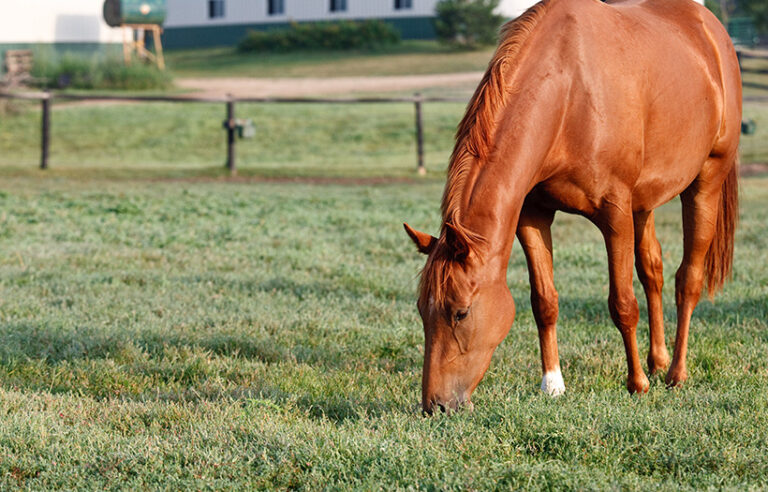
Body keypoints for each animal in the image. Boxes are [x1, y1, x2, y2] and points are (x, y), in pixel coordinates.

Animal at [404, 0, 740, 416]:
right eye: (422, 309)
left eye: (460, 312)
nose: (435, 405)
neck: (567, 95)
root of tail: (709, 26)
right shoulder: (532, 215)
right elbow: (544, 301)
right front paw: (552, 384)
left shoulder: (614, 214)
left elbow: (622, 303)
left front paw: (637, 384)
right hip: (644, 203)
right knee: (654, 271)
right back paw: (658, 360)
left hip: (705, 181)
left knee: (688, 279)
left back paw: (676, 374)